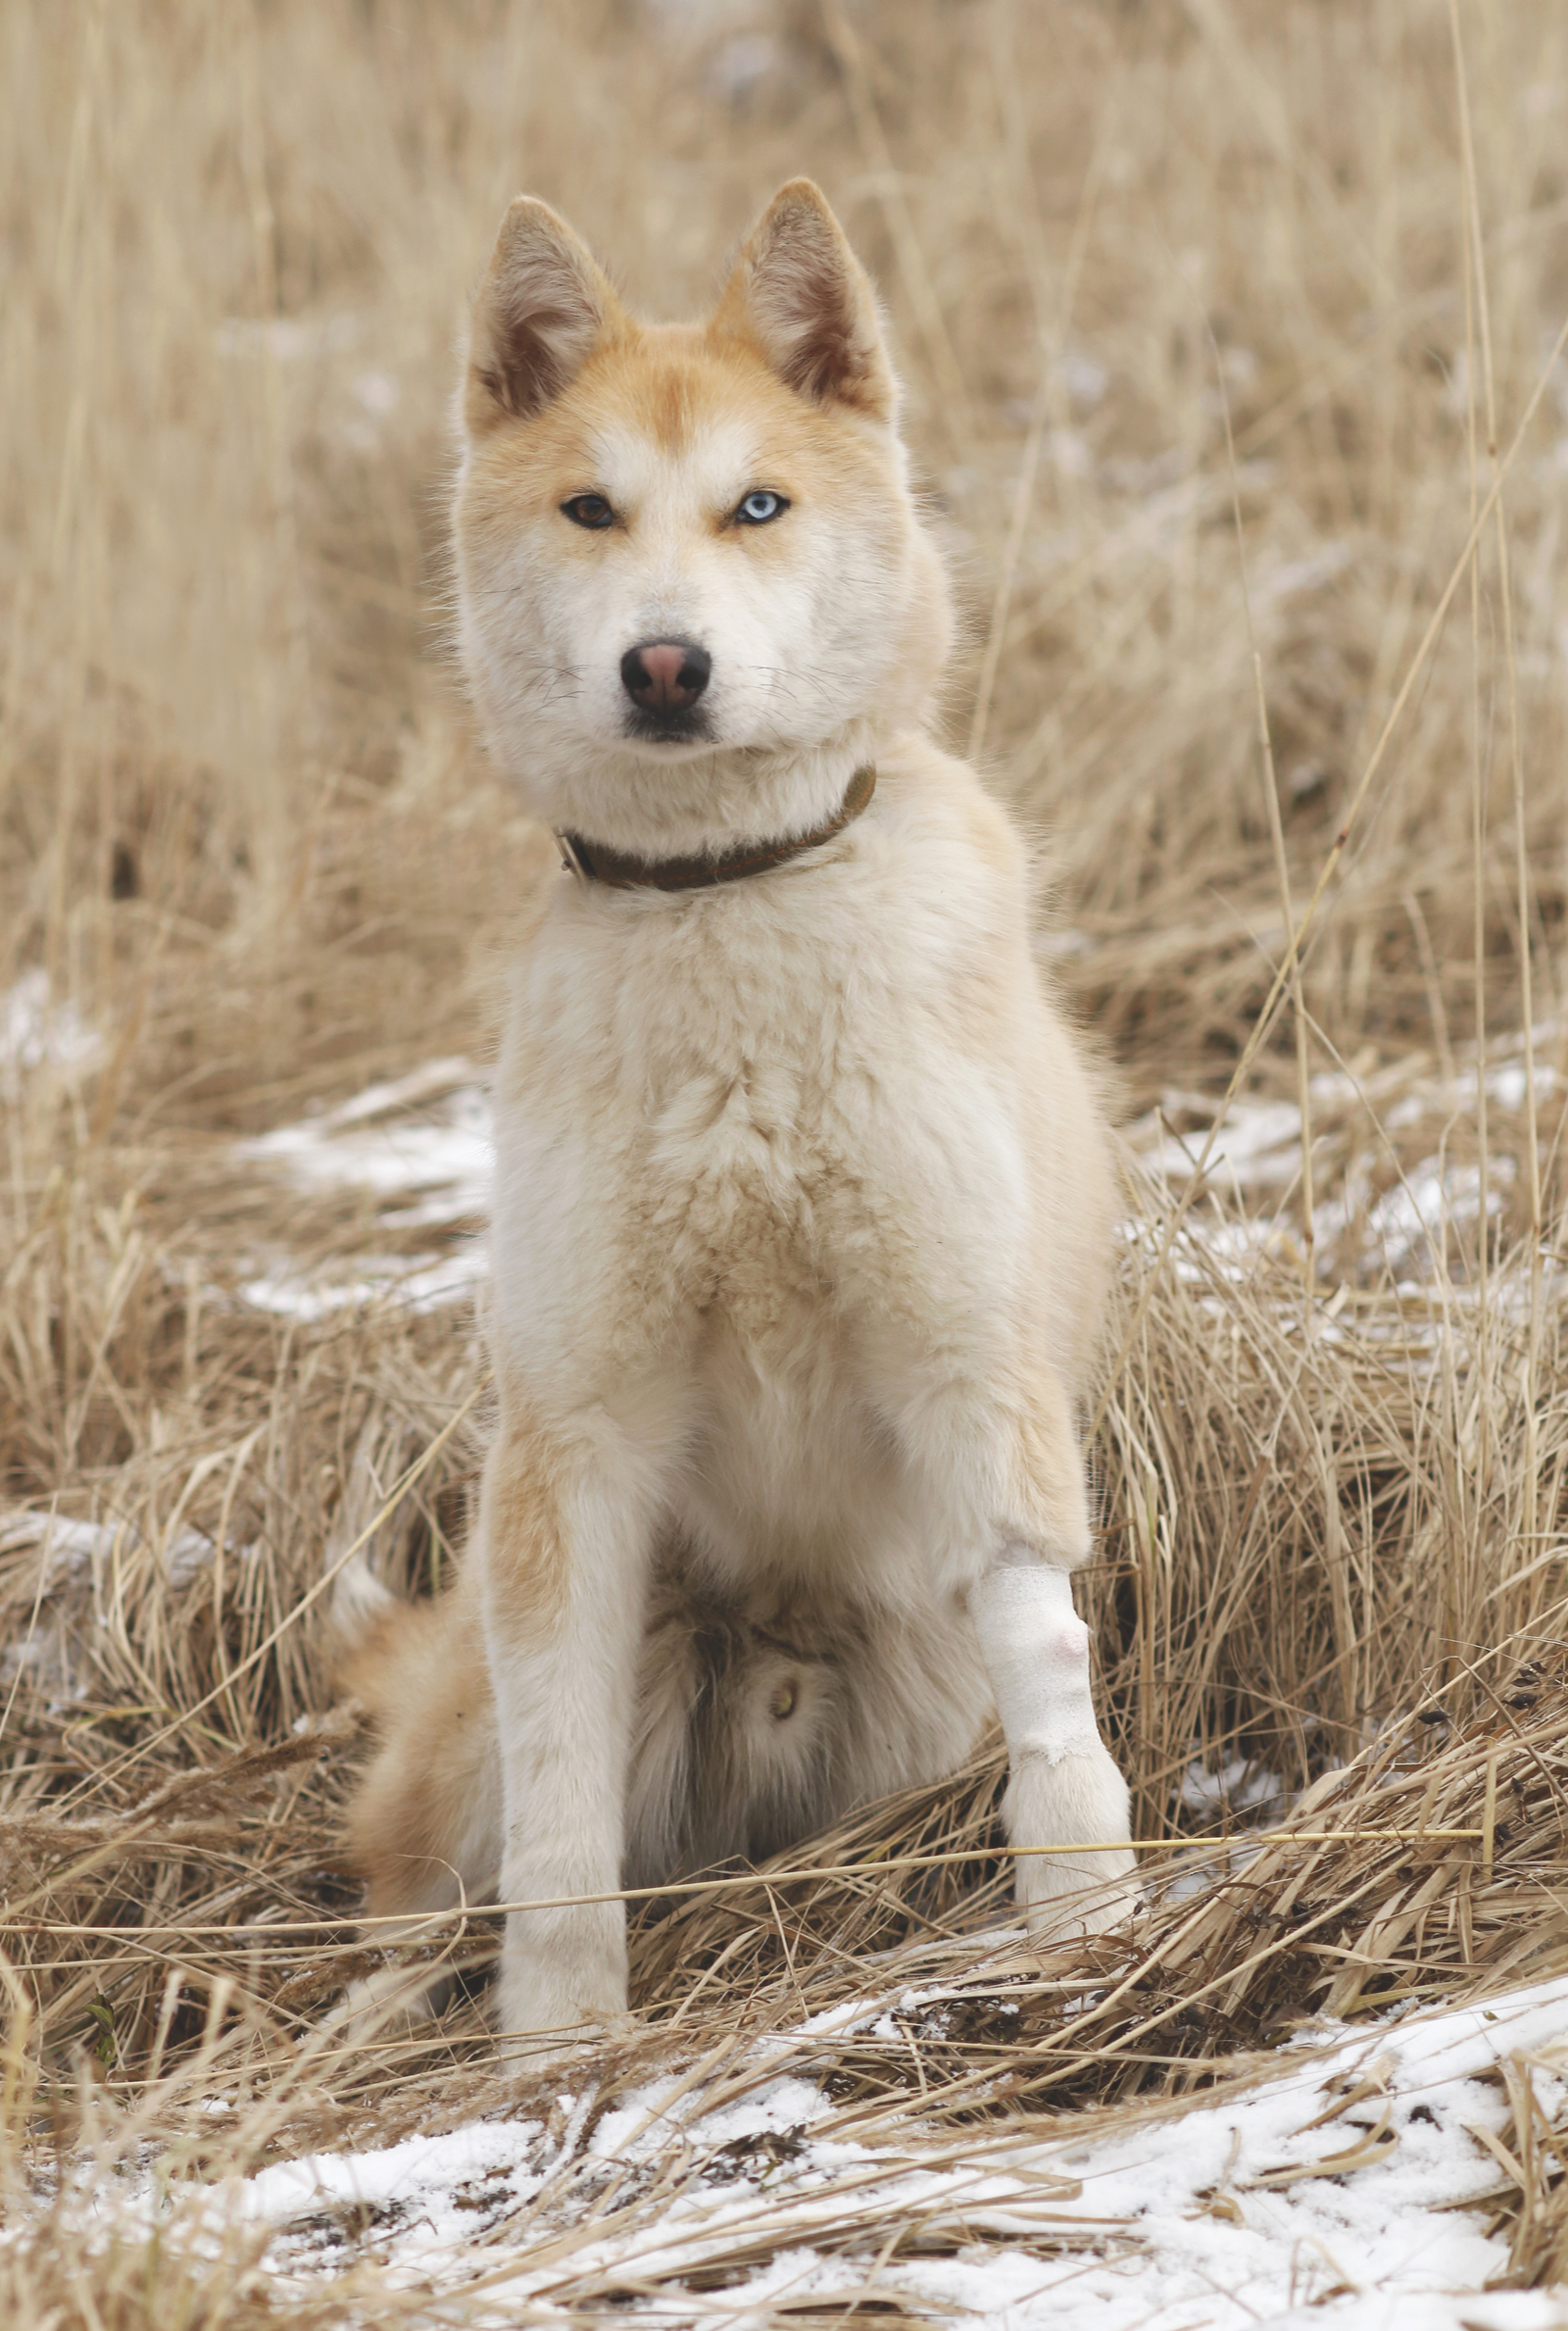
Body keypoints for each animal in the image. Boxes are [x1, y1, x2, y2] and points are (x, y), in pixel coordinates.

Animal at [335, 176, 1132, 2060]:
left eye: (757, 503)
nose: (666, 662)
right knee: (421, 1879)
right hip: (486, 1698)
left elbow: (1054, 1694)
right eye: (592, 508)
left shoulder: (972, 1370)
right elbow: (558, 1820)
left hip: (909, 1693)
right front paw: (558, 2047)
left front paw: (1090, 1926)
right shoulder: (572, 1444)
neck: (726, 905)